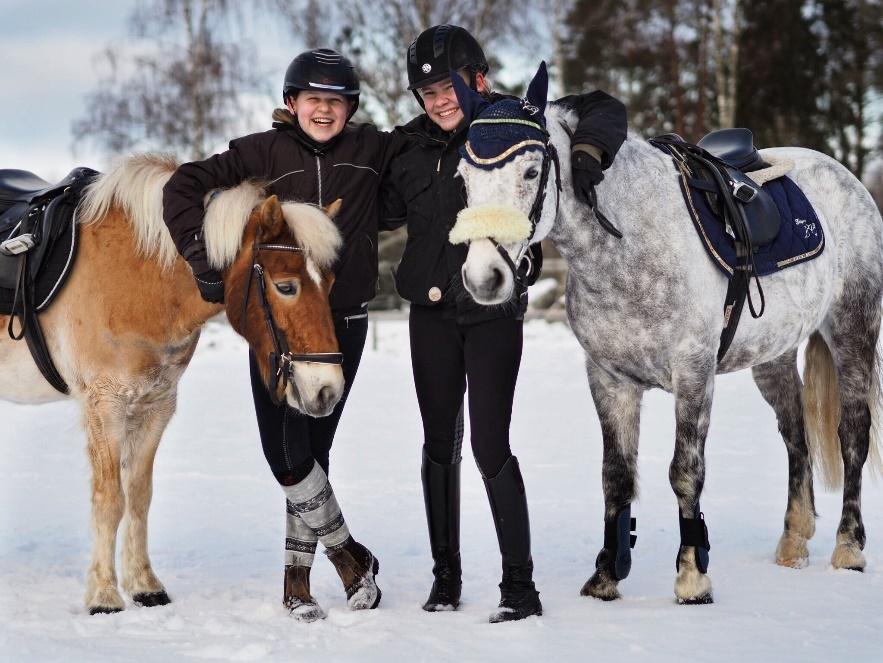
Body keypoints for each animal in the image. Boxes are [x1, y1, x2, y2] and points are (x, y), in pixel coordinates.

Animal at [0, 154, 346, 612]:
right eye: (286, 286)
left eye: (330, 284)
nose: (329, 389)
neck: (139, 277)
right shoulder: (105, 406)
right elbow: (110, 500)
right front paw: (104, 595)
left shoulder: (156, 405)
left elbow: (139, 496)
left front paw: (144, 585)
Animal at [448, 67, 883, 608]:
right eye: (463, 179)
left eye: (531, 173)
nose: (483, 277)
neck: (630, 244)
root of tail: (844, 177)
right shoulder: (609, 379)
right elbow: (616, 476)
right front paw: (606, 576)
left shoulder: (693, 372)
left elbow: (684, 472)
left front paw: (692, 578)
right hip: (773, 356)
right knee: (795, 433)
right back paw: (793, 541)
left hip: (853, 329)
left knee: (853, 435)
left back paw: (849, 548)